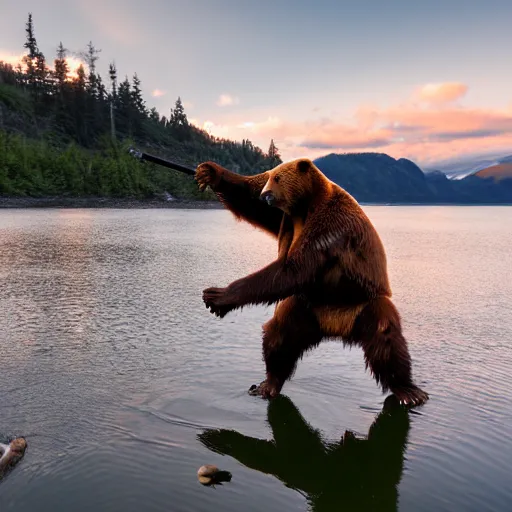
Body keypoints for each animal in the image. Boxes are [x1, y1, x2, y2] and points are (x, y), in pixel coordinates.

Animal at [195, 158, 428, 406]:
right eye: (268, 176)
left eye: (277, 178)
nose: (265, 194)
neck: (305, 206)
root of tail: (336, 326)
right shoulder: (285, 218)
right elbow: (252, 207)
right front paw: (210, 173)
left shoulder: (329, 227)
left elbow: (292, 270)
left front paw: (217, 296)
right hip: (304, 307)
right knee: (279, 337)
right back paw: (269, 384)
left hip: (365, 302)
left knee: (386, 339)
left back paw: (409, 391)